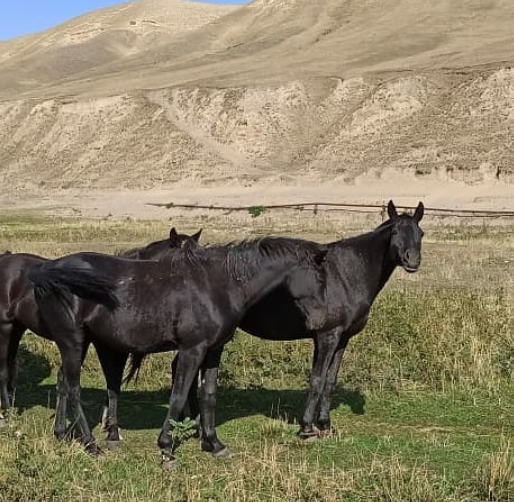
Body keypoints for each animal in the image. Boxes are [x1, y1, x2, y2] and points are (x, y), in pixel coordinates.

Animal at [28, 237, 326, 464]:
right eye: (319, 277)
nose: (319, 322)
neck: (217, 285)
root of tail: (47, 270)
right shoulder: (191, 350)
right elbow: (179, 395)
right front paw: (167, 448)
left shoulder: (213, 351)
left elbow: (208, 396)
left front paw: (214, 444)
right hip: (72, 341)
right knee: (74, 388)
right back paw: (91, 444)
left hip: (80, 342)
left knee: (64, 382)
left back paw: (62, 434)